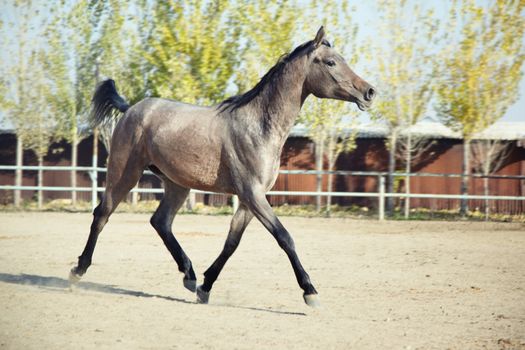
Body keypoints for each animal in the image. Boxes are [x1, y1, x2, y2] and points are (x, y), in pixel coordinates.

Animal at [69, 26, 374, 306]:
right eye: (331, 62)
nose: (369, 92)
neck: (259, 127)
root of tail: (131, 108)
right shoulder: (253, 194)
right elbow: (284, 237)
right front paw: (310, 291)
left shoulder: (250, 200)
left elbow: (232, 242)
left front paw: (205, 286)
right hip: (125, 172)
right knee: (102, 214)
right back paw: (78, 270)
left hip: (177, 184)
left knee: (160, 221)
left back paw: (189, 275)